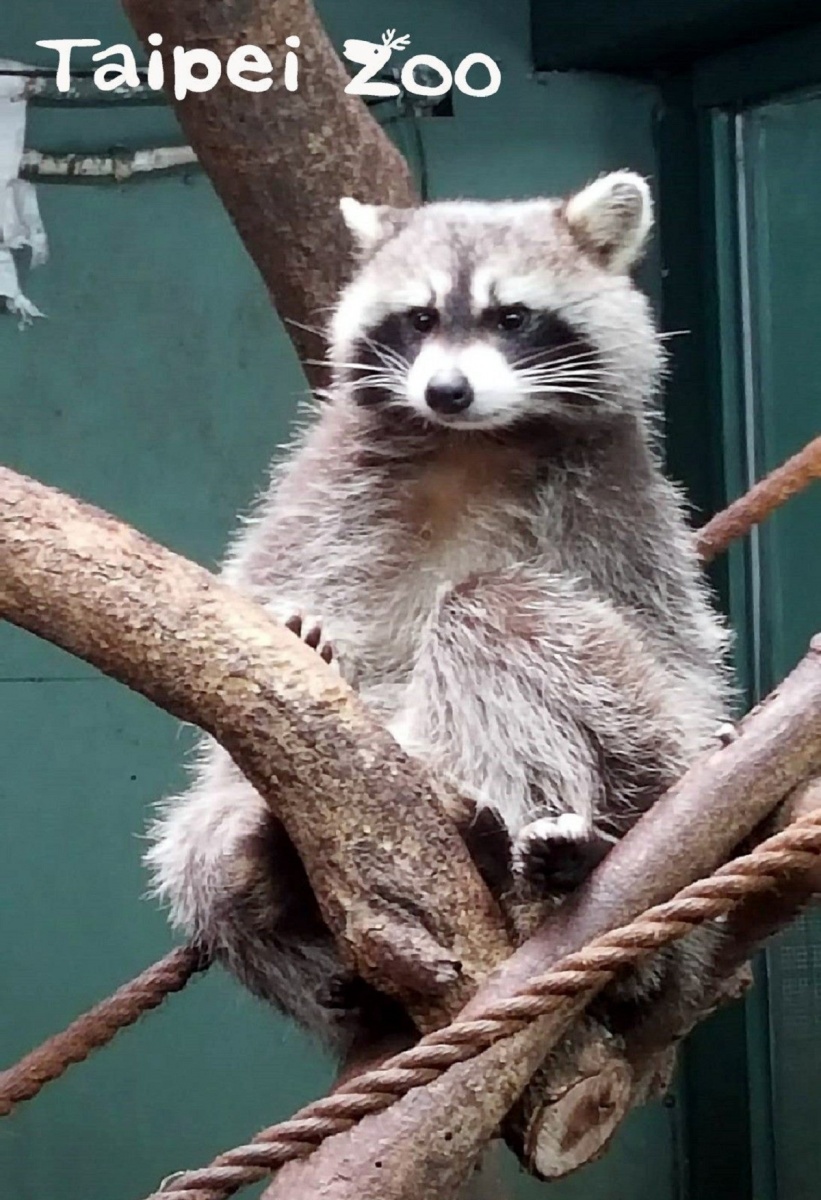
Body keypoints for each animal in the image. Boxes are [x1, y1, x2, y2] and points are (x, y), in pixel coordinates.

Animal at [147, 169, 729, 1051]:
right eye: (419, 318)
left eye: (511, 317)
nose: (445, 390)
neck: (474, 439)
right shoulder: (328, 486)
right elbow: (268, 607)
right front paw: (311, 646)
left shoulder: (617, 494)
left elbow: (674, 645)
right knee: (198, 853)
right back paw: (275, 885)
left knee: (502, 617)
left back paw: (541, 863)